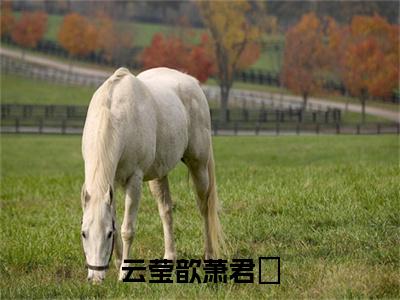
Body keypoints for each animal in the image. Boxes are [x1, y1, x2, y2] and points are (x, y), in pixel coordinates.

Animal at [80, 67, 223, 282]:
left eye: (108, 234)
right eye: (84, 233)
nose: (95, 278)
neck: (115, 115)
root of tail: (192, 81)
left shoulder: (134, 180)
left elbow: (127, 229)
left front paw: (124, 272)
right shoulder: (111, 184)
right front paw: (118, 263)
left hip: (199, 166)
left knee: (205, 207)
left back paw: (209, 255)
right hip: (159, 175)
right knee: (166, 211)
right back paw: (169, 257)